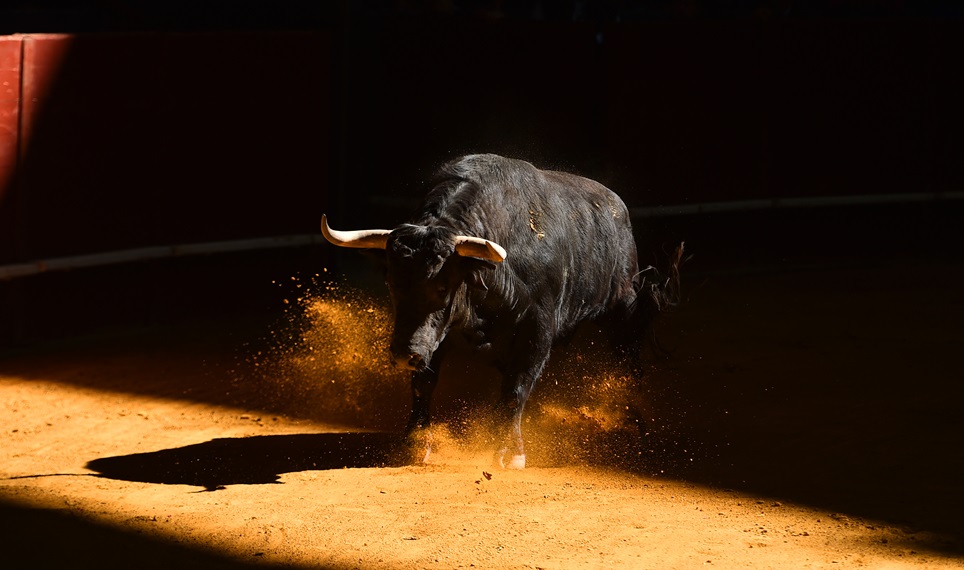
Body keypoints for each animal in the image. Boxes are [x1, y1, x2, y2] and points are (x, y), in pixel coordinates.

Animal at [321, 154, 681, 469]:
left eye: (443, 287)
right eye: (391, 284)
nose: (402, 354)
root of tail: (617, 208)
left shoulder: (537, 330)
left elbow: (515, 390)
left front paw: (510, 453)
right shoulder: (438, 336)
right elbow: (424, 383)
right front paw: (416, 444)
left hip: (623, 314)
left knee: (627, 366)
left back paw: (633, 428)